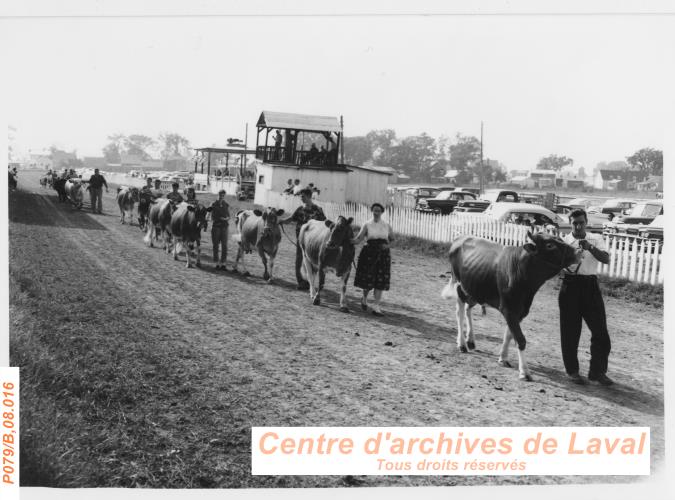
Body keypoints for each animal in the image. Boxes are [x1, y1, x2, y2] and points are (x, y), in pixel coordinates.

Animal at [440, 232, 580, 380]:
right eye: (549, 245)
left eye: (560, 239)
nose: (578, 251)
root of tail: (461, 237)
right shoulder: (508, 309)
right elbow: (520, 339)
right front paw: (524, 371)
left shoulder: (520, 312)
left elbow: (509, 335)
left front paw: (503, 358)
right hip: (460, 285)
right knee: (460, 312)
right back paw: (462, 344)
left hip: (476, 289)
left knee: (468, 308)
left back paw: (470, 340)